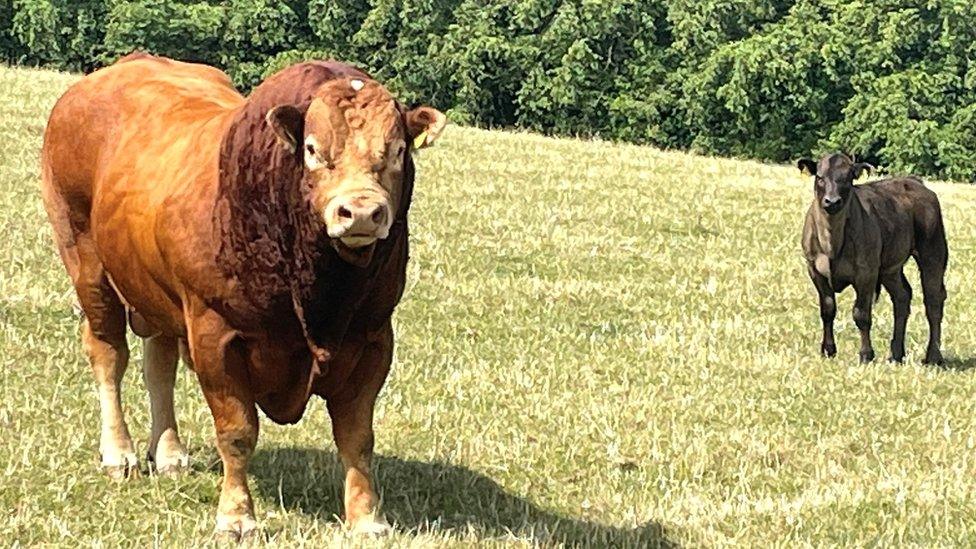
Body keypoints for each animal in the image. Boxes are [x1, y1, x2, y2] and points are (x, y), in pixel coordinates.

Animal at [42, 53, 446, 536]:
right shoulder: (216, 336)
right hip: (86, 263)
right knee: (108, 355)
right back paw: (118, 452)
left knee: (158, 365)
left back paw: (169, 452)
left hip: (154, 291)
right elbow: (237, 433)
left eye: (399, 150)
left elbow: (357, 437)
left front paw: (367, 518)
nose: (362, 211)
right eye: (313, 149)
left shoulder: (373, 339)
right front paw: (236, 515)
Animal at [800, 152, 944, 364]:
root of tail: (913, 181)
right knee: (902, 296)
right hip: (889, 268)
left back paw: (933, 356)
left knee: (933, 300)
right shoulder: (815, 270)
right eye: (819, 177)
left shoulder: (866, 272)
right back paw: (896, 354)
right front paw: (828, 350)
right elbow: (827, 309)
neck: (832, 243)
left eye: (848, 178)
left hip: (932, 251)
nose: (832, 201)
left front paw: (866, 354)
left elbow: (861, 314)